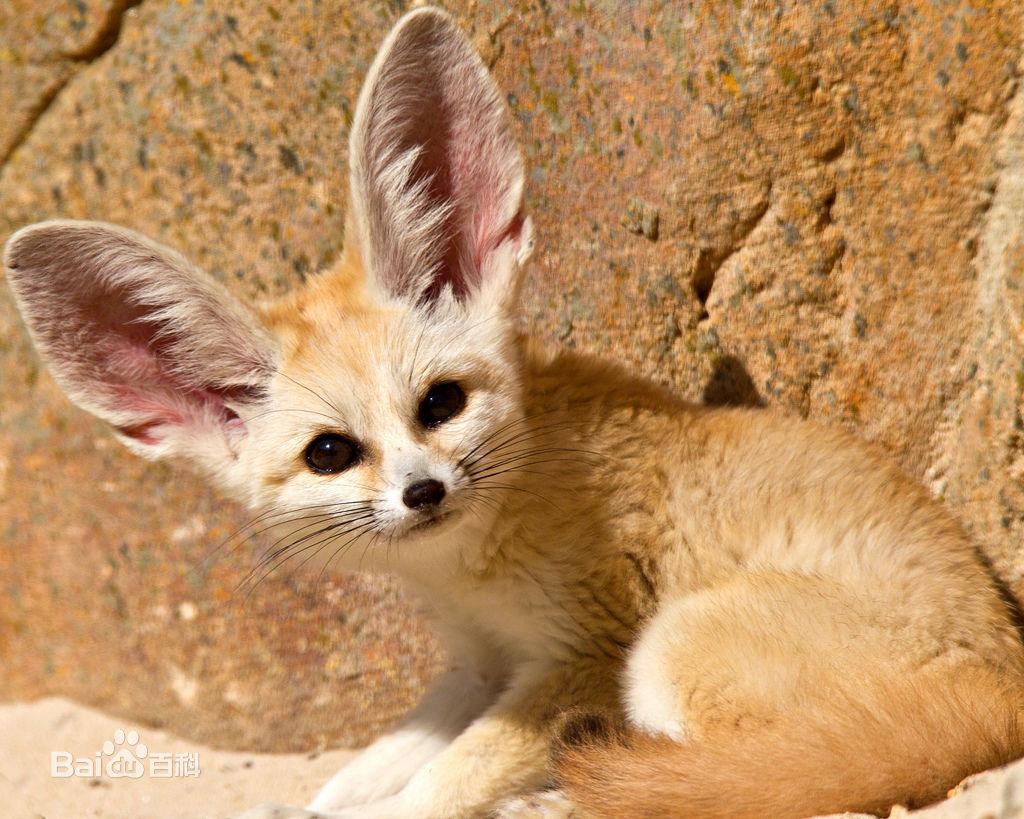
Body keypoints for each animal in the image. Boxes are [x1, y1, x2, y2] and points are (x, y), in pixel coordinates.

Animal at [6, 6, 1024, 818]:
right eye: (331, 452)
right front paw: (310, 801)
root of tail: (1002, 683)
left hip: (671, 647)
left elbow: (440, 783)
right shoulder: (476, 660)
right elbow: (381, 757)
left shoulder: (582, 650)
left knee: (744, 778)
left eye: (441, 402)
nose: (422, 491)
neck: (471, 568)